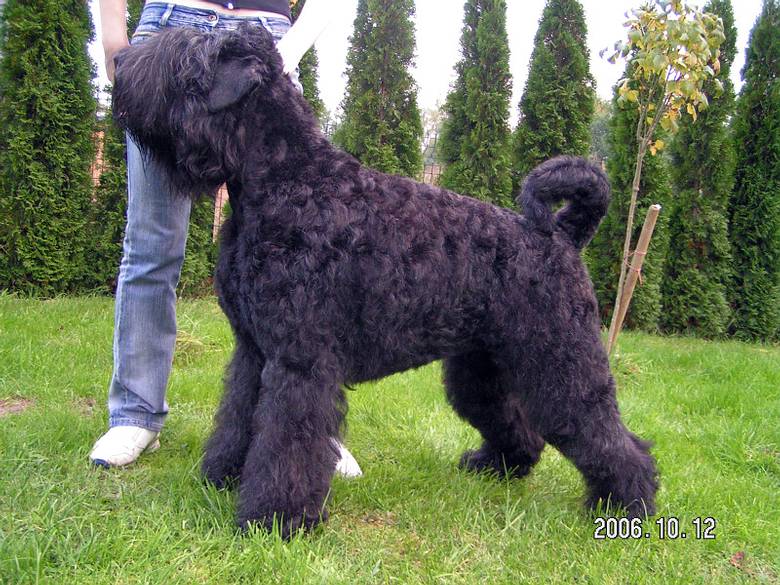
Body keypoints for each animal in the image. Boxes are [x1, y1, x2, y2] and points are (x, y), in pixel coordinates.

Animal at [113, 24, 658, 538]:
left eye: (186, 58)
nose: (118, 63)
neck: (288, 181)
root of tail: (563, 234)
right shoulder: (253, 352)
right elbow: (237, 417)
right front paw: (222, 477)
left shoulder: (298, 361)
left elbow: (285, 441)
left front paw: (274, 519)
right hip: (480, 367)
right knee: (517, 425)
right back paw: (496, 466)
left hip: (561, 362)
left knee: (609, 436)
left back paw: (626, 503)